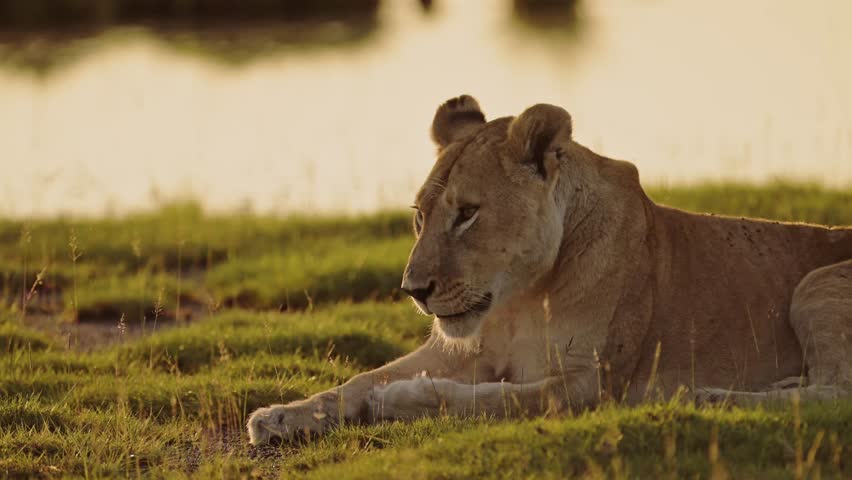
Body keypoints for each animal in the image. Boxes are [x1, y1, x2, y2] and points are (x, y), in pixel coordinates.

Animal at [248, 95, 852, 445]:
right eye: (420, 216)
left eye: (467, 214)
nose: (414, 290)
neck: (518, 300)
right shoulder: (459, 347)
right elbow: (359, 377)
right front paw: (280, 416)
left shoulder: (590, 383)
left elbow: (495, 398)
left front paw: (396, 402)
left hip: (815, 283)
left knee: (835, 394)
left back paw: (704, 398)